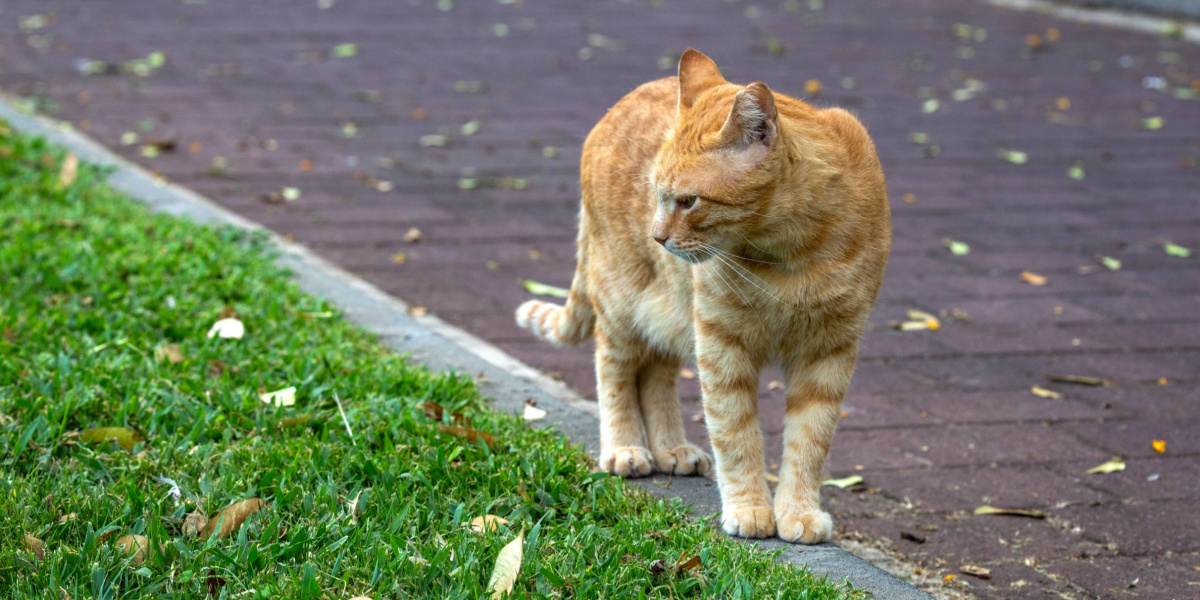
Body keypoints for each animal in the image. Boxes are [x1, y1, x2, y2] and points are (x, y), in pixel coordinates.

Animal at [511, 46, 888, 544]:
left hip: (669, 317)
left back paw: (671, 448)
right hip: (622, 304)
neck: (791, 252)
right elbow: (736, 433)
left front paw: (799, 511)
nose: (657, 237)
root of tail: (616, 106)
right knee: (614, 371)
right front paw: (749, 509)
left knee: (655, 377)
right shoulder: (722, 344)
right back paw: (626, 448)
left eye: (688, 201)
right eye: (656, 193)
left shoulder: (829, 352)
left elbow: (810, 440)